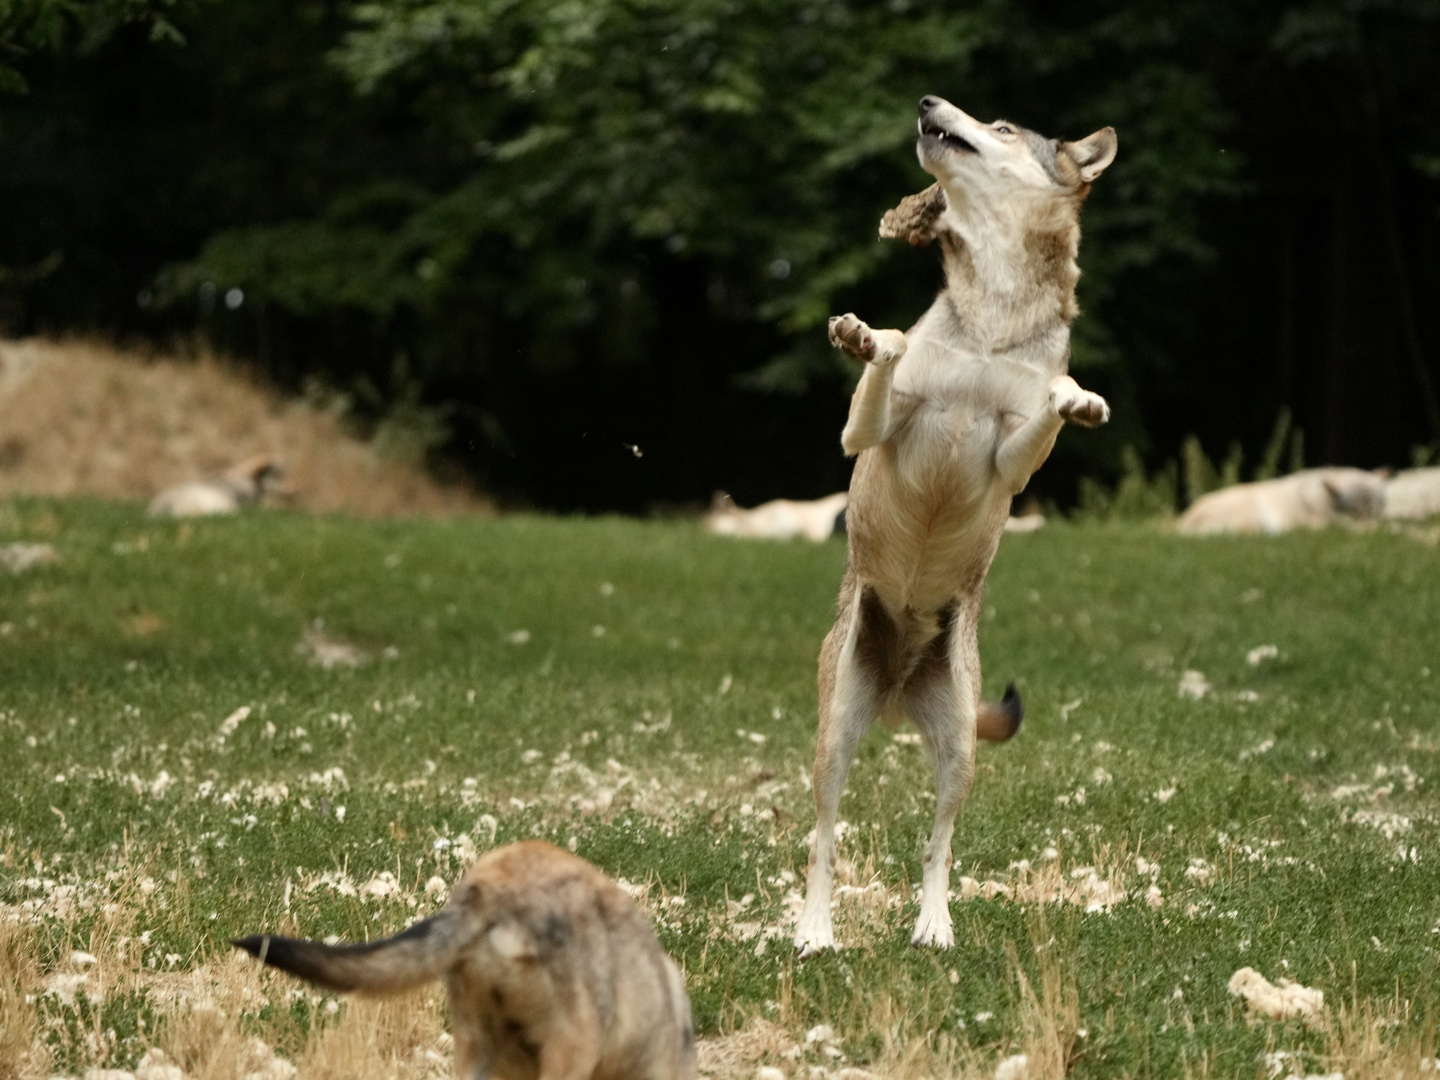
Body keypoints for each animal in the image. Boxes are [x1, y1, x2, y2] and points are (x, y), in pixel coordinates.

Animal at [794, 92, 1117, 956]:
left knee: (937, 846)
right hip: (836, 736)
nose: (927, 102)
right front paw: (870, 338)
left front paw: (1075, 398)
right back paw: (815, 931)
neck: (993, 320)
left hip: (960, 754)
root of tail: (898, 688)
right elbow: (887, 361)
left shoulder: (1010, 464)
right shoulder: (868, 433)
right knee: (824, 840)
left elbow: (1045, 410)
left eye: (1003, 129)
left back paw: (933, 926)